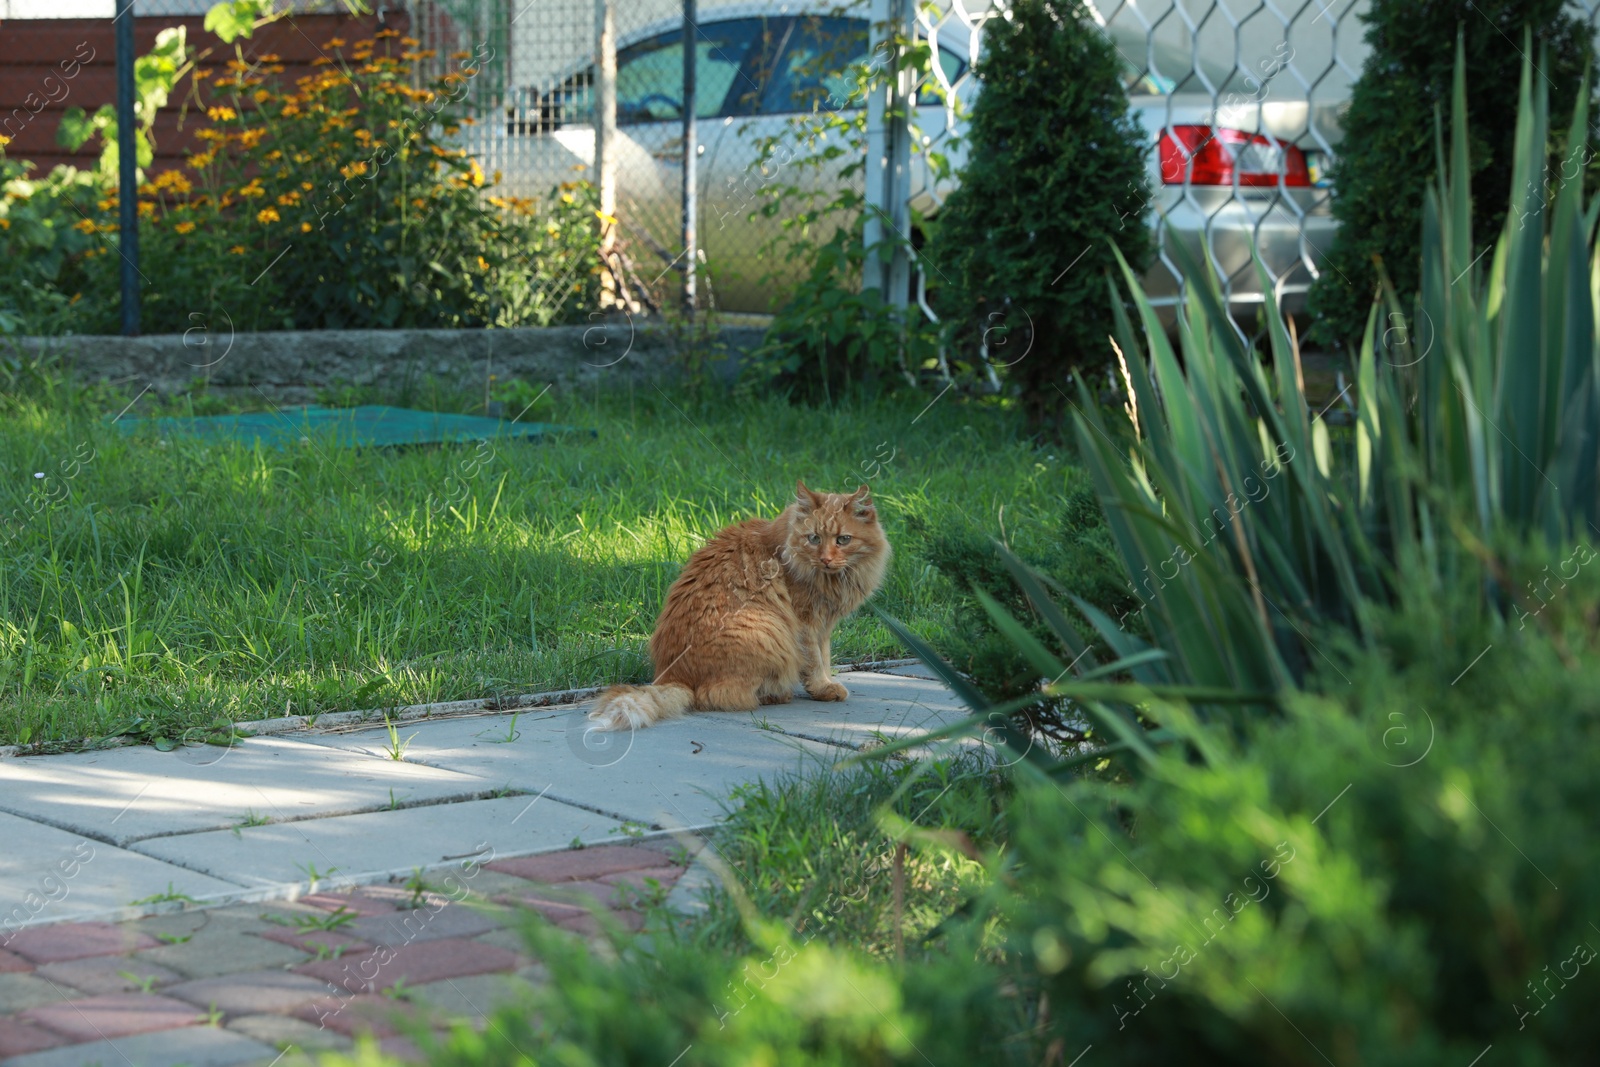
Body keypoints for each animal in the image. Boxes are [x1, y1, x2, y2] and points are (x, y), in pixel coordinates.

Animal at [585, 483, 889, 735]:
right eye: (814, 538)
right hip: (769, 633)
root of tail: (675, 676)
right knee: (718, 696)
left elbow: (825, 658)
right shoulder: (807, 623)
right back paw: (775, 695)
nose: (825, 559)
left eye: (843, 540)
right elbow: (815, 662)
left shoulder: (824, 625)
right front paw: (824, 689)